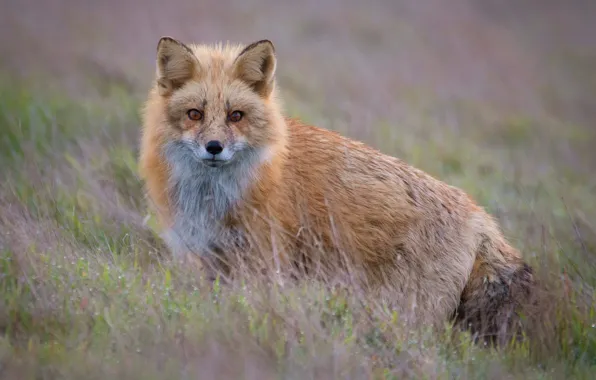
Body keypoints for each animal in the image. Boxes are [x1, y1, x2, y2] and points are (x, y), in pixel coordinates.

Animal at [139, 37, 536, 342]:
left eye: (236, 116)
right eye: (195, 114)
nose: (214, 147)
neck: (216, 197)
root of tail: (479, 214)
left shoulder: (262, 263)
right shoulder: (212, 260)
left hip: (405, 310)